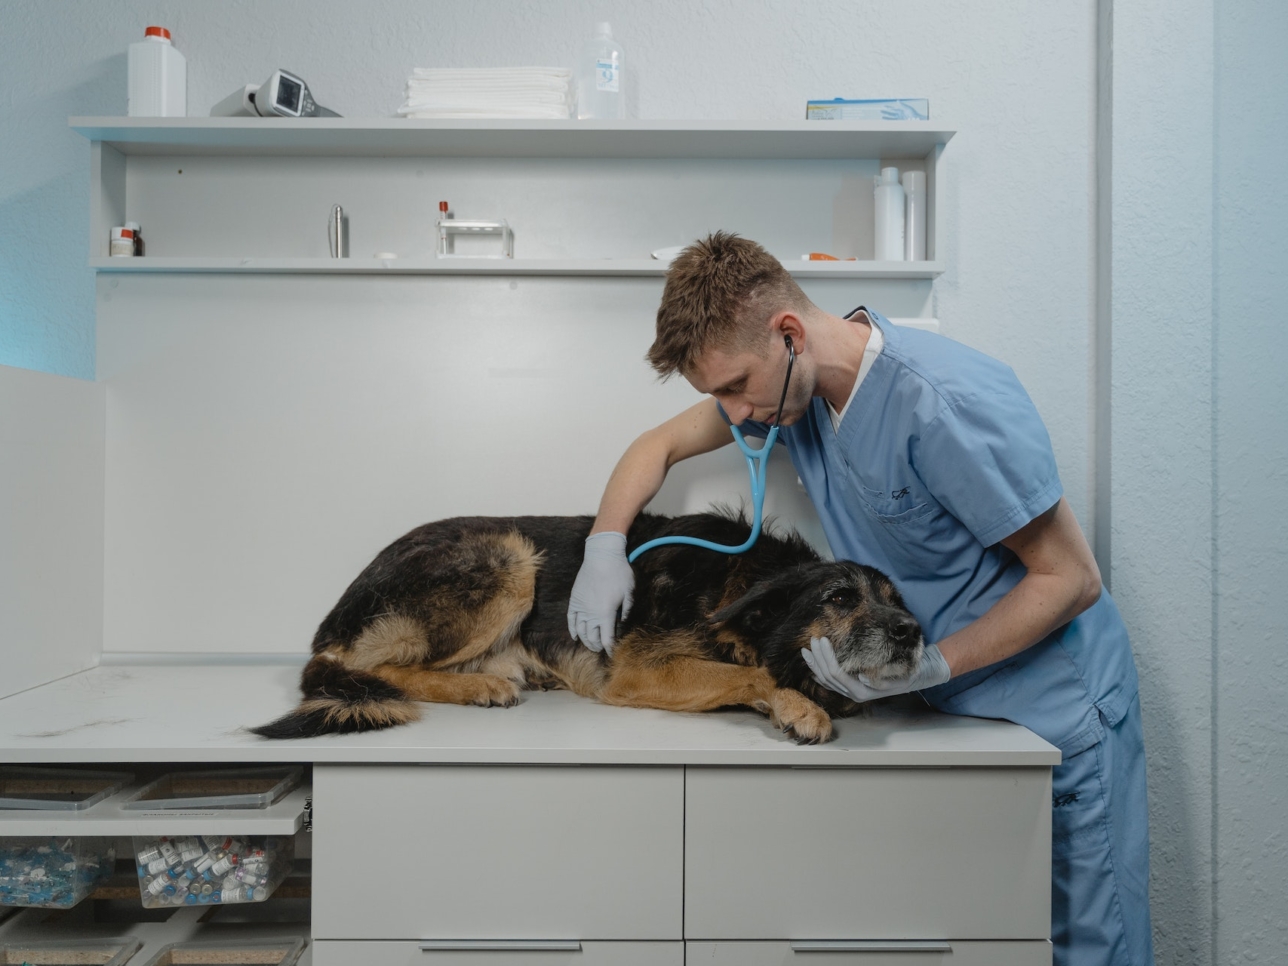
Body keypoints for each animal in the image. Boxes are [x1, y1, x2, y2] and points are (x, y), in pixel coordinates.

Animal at [246, 515, 922, 747]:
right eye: (839, 598)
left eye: (897, 601)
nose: (913, 633)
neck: (742, 581)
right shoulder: (641, 670)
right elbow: (755, 672)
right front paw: (801, 706)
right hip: (511, 554)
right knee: (375, 669)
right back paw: (479, 687)